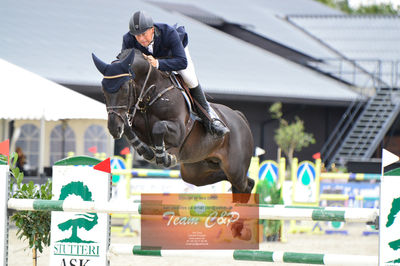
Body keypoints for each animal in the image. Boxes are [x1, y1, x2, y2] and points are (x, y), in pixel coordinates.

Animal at [92, 48, 255, 200]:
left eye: (125, 89)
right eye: (103, 88)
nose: (113, 128)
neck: (150, 93)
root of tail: (239, 116)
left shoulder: (179, 131)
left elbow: (158, 128)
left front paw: (164, 157)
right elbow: (129, 129)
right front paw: (147, 151)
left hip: (235, 168)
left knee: (245, 185)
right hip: (196, 171)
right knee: (231, 180)